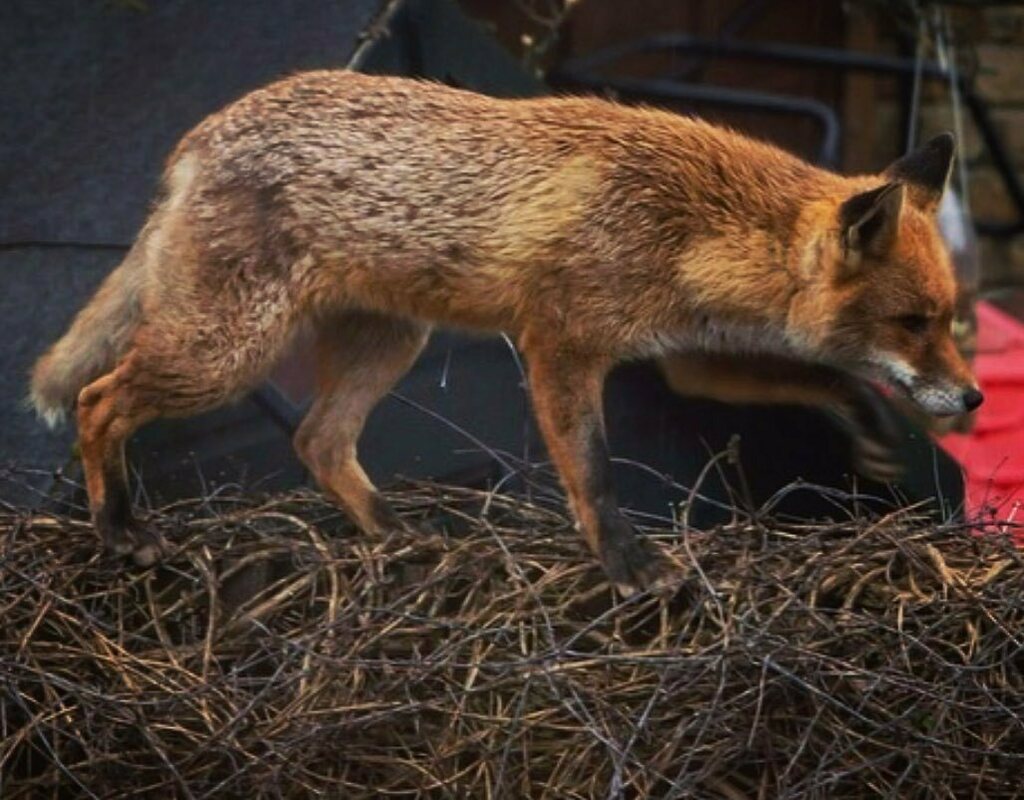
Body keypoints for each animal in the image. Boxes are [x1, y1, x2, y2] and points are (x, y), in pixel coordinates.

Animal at [30, 71, 980, 594]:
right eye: (912, 322)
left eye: (950, 319)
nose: (971, 397)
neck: (689, 225)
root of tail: (195, 138)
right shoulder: (561, 344)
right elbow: (592, 472)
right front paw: (628, 565)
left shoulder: (686, 357)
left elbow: (831, 380)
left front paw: (874, 430)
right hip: (226, 351)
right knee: (98, 399)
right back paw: (119, 530)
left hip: (389, 344)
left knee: (317, 439)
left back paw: (395, 534)